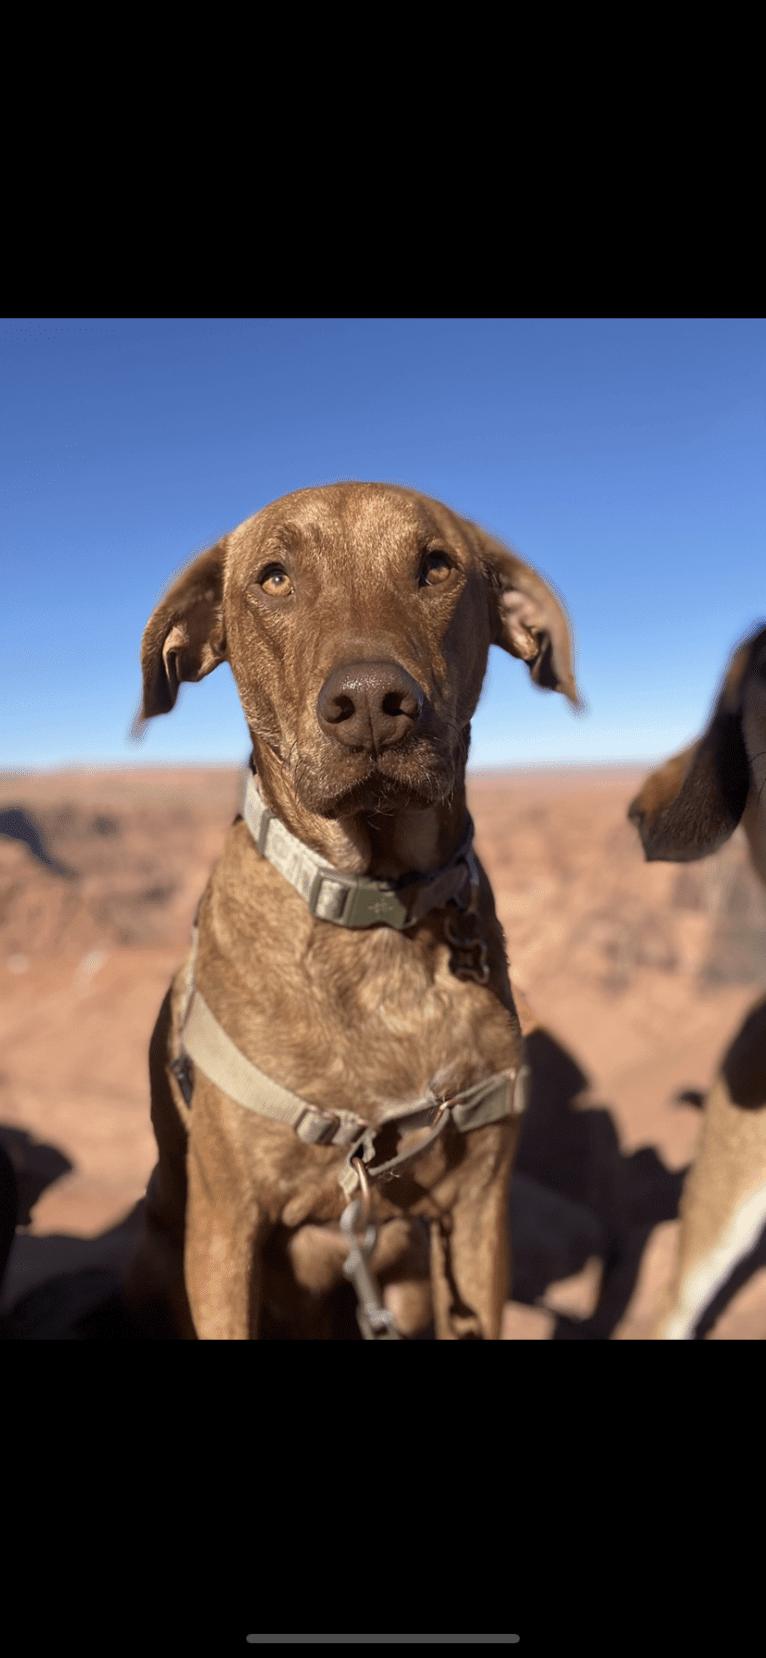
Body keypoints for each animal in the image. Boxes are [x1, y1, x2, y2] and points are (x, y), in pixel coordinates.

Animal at [126, 484, 580, 1339]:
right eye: (274, 578)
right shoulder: (224, 1228)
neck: (374, 915)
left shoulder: (478, 1214)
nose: (372, 702)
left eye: (436, 566)